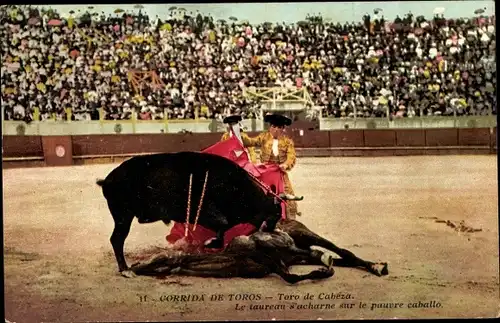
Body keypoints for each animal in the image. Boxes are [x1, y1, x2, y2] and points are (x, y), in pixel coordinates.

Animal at [97, 152, 292, 274]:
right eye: (276, 214)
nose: (272, 230)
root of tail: (107, 179)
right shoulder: (209, 212)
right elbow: (222, 225)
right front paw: (209, 243)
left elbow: (222, 229)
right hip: (123, 216)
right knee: (117, 239)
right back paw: (125, 269)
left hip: (123, 216)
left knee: (117, 239)